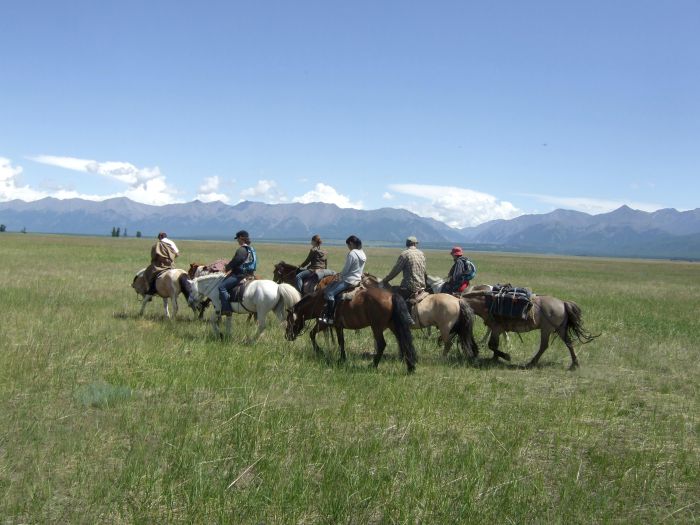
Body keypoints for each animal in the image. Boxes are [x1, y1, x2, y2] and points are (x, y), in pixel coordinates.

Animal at [284, 286, 416, 372]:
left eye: (289, 320)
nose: (287, 336)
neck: (319, 302)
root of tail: (391, 296)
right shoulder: (338, 326)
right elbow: (341, 341)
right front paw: (342, 359)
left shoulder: (326, 323)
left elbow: (313, 334)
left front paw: (321, 352)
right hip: (393, 325)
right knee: (404, 341)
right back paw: (410, 367)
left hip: (377, 327)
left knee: (382, 344)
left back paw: (373, 365)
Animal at [462, 290, 600, 368]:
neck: (486, 303)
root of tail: (563, 303)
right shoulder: (497, 330)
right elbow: (494, 345)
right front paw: (494, 359)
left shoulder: (496, 328)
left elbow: (492, 345)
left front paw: (505, 356)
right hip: (560, 329)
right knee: (569, 343)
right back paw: (575, 364)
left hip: (546, 330)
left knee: (544, 346)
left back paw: (532, 363)